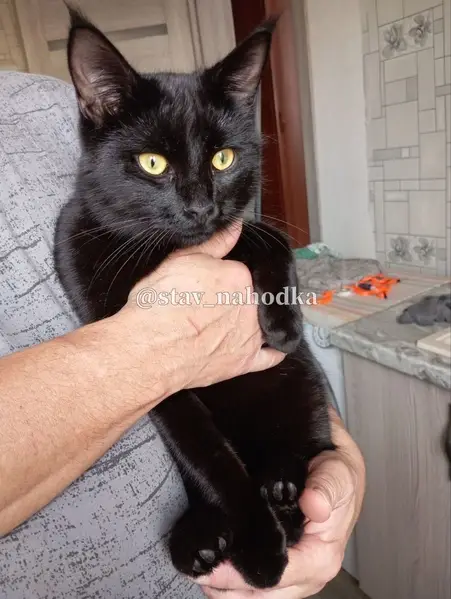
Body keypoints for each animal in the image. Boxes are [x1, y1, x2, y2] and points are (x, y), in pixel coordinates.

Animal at [54, 8, 335, 589]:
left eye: (224, 158)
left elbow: (267, 235)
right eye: (152, 164)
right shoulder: (155, 378)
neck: (164, 253)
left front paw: (282, 324)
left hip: (301, 386)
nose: (201, 207)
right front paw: (259, 548)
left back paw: (282, 488)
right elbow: (208, 457)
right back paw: (203, 538)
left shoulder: (239, 231)